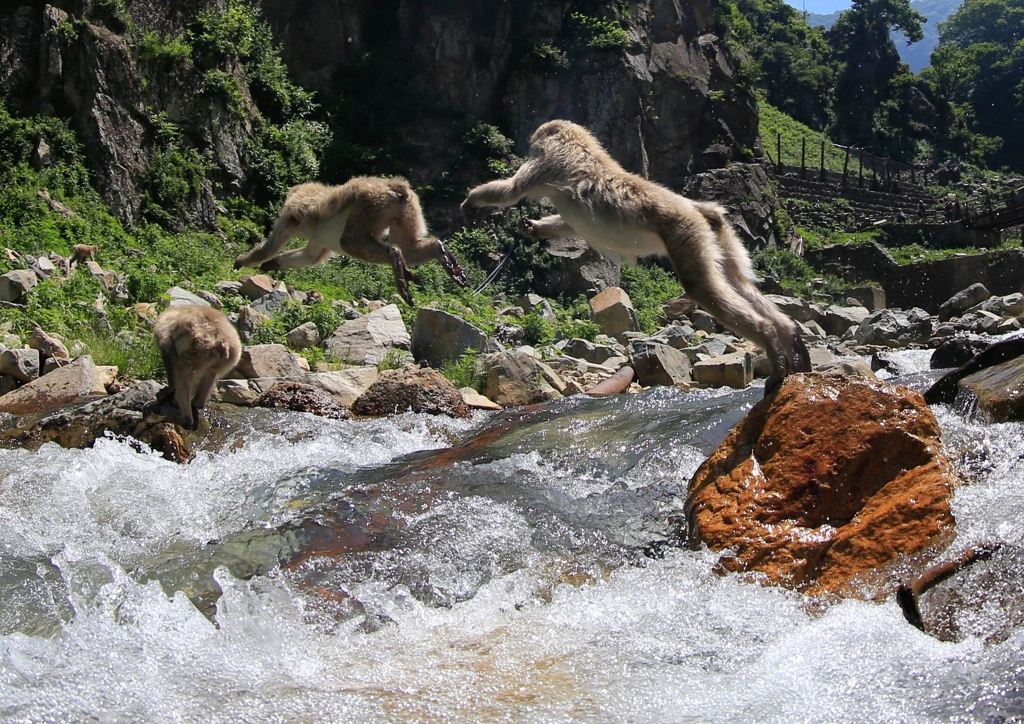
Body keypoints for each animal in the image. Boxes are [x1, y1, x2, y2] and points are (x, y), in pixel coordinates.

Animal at [233, 177, 468, 305]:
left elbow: (270, 247)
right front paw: (272, 264)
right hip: (404, 209)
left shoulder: (291, 216)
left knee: (351, 242)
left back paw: (397, 263)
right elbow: (310, 257)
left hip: (369, 204)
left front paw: (244, 260)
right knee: (409, 248)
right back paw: (442, 257)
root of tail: (393, 187)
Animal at [462, 119, 806, 391]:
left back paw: (768, 340)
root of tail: (697, 208)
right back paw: (787, 335)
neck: (579, 145)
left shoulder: (546, 165)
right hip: (719, 238)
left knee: (702, 288)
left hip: (685, 231)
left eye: (536, 142)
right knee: (736, 282)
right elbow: (570, 224)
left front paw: (471, 201)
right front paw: (533, 228)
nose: (529, 145)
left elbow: (510, 191)